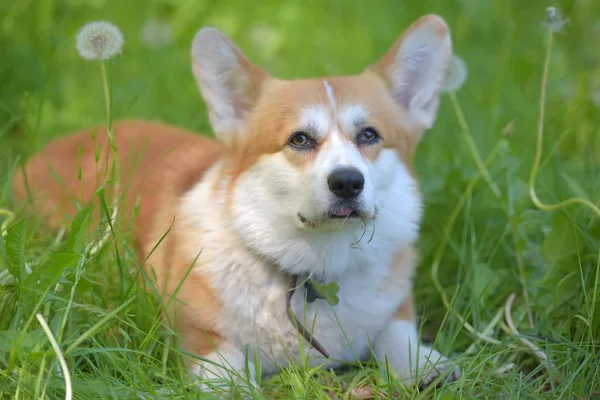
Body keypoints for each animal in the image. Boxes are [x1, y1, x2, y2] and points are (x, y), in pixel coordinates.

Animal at [12, 14, 460, 396]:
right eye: (299, 139)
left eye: (369, 135)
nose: (348, 182)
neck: (313, 266)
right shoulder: (197, 334)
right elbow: (229, 369)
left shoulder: (392, 307)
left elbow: (397, 333)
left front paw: (424, 364)